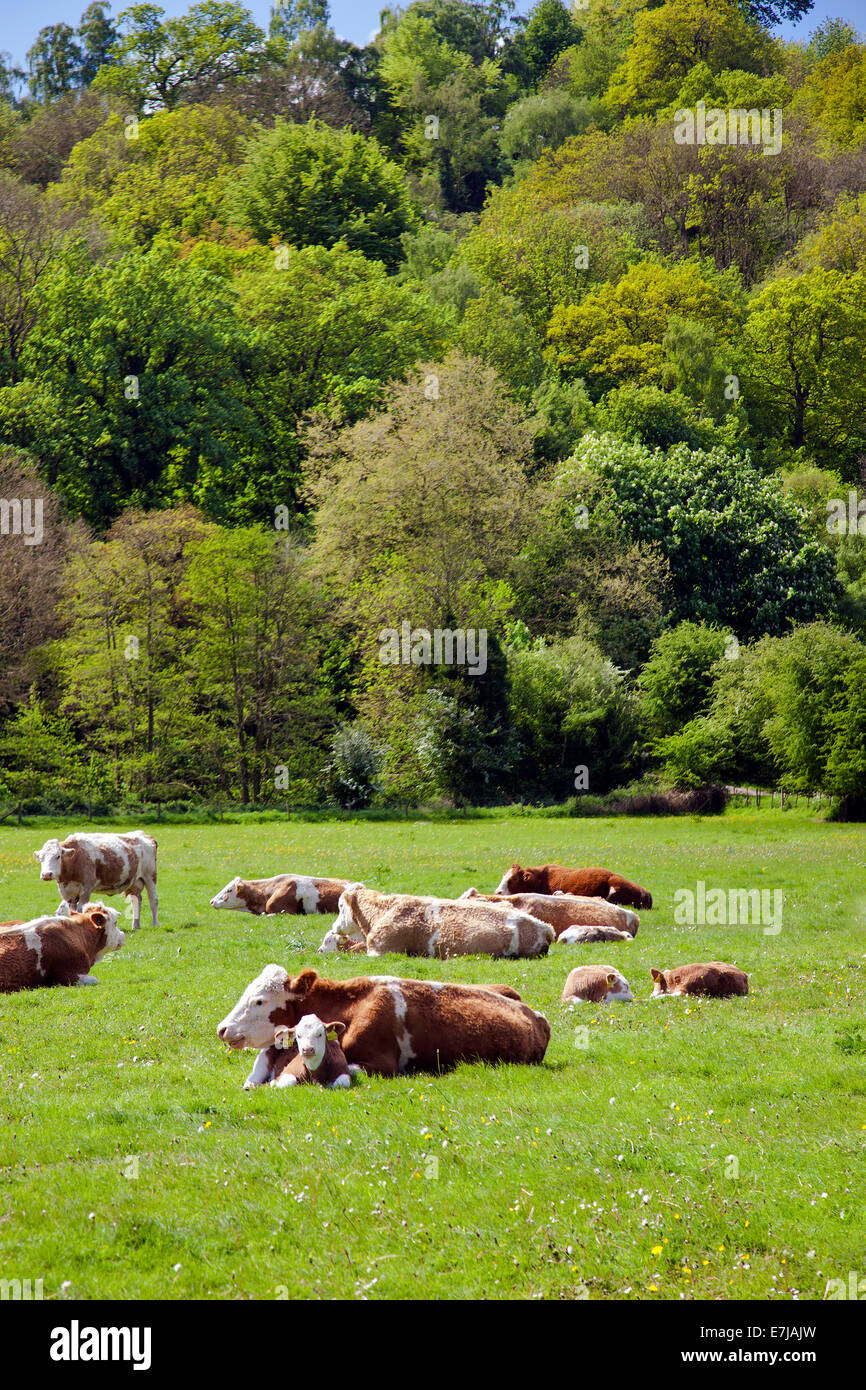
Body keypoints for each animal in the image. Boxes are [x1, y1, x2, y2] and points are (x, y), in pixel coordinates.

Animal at [32, 828, 161, 928]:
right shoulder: (68, 892)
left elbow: (80, 909)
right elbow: (71, 911)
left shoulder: (86, 889)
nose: (46, 874)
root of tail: (143, 835)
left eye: (58, 856)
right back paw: (136, 925)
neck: (75, 860)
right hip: (135, 882)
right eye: (41, 858)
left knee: (153, 900)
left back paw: (155, 924)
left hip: (150, 876)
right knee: (136, 901)